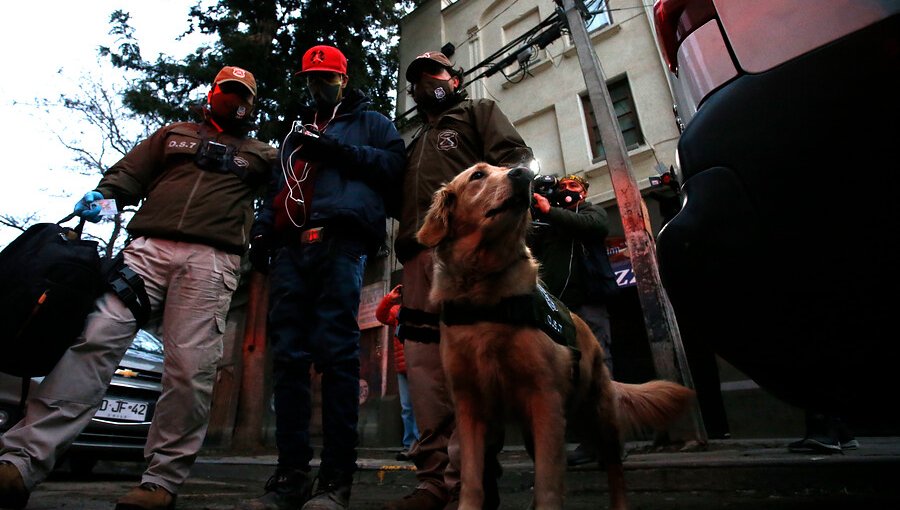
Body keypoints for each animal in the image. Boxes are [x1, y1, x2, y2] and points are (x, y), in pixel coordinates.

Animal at [416, 163, 696, 510]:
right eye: (477, 176)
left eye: (505, 168)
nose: (522, 174)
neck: (486, 298)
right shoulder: (470, 406)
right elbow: (472, 481)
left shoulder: (544, 396)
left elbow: (548, 484)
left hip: (598, 415)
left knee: (614, 469)